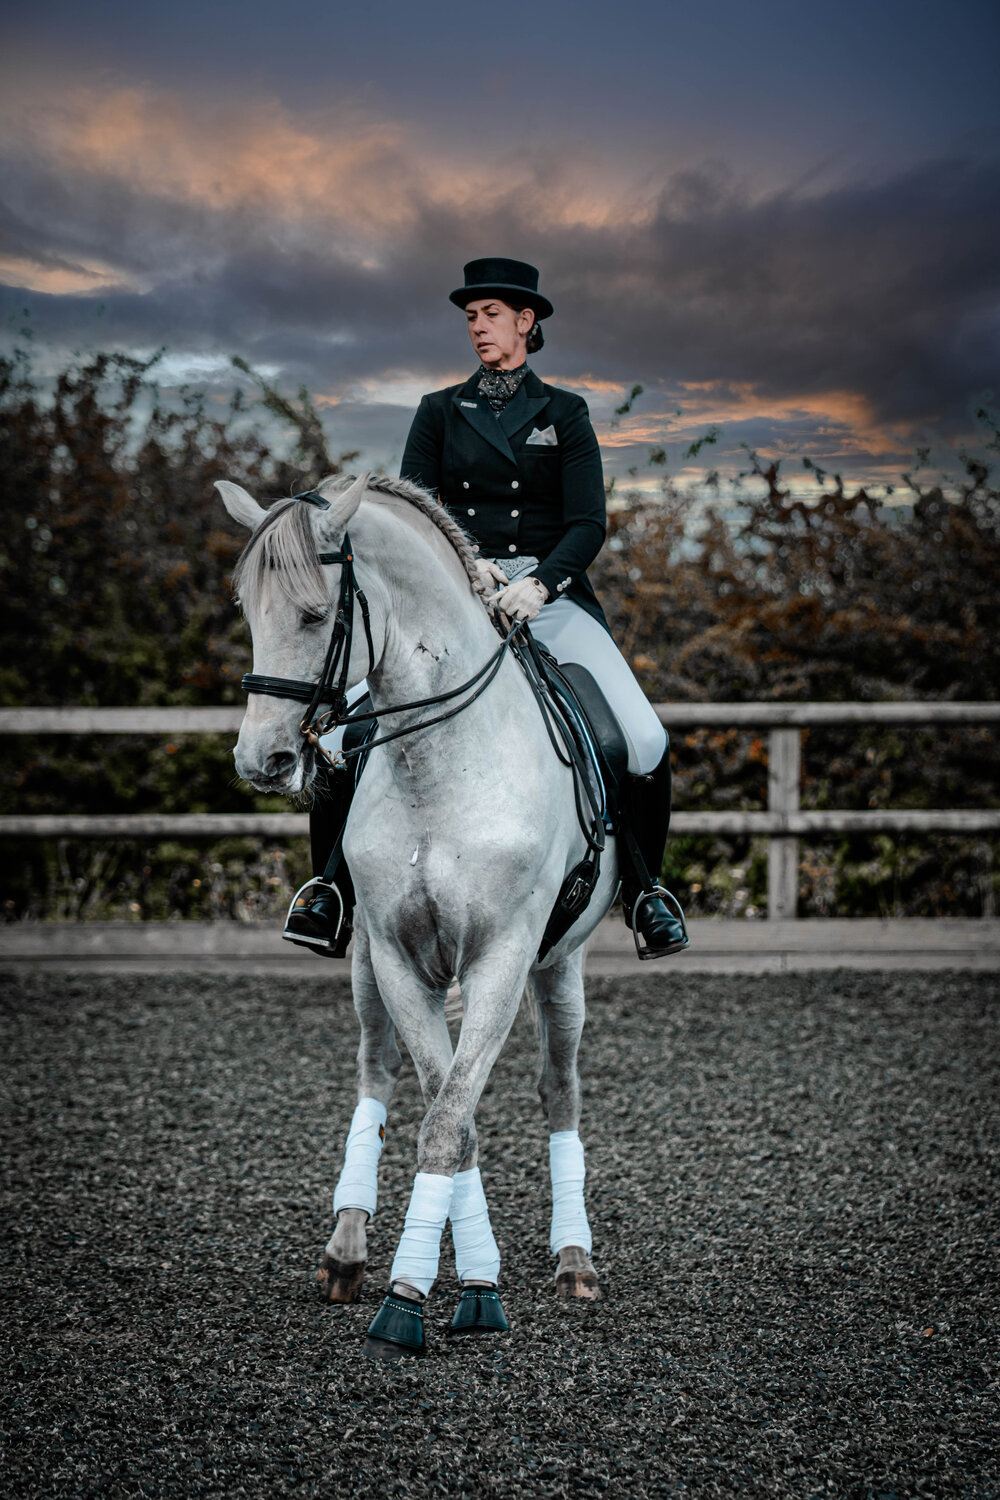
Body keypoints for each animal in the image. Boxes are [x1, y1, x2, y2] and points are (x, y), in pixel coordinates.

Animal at [217, 470, 619, 1357]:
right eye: (247, 611)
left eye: (314, 614)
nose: (262, 761)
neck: (441, 765)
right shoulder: (400, 960)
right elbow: (448, 1115)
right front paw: (458, 1279)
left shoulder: (503, 957)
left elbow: (450, 1119)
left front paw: (421, 1297)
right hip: (367, 964)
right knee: (377, 1073)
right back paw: (346, 1248)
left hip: (560, 968)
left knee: (560, 1088)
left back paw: (574, 1260)